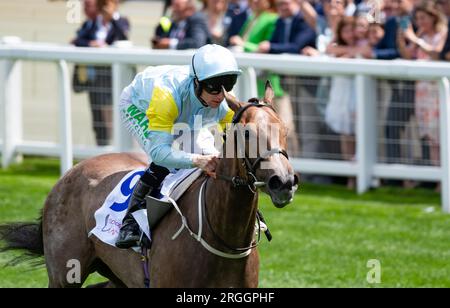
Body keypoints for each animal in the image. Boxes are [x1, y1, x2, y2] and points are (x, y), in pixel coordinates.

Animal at [0, 81, 298, 286]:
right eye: (246, 132)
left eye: (284, 129)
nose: (283, 182)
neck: (223, 237)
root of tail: (70, 173)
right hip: (65, 274)